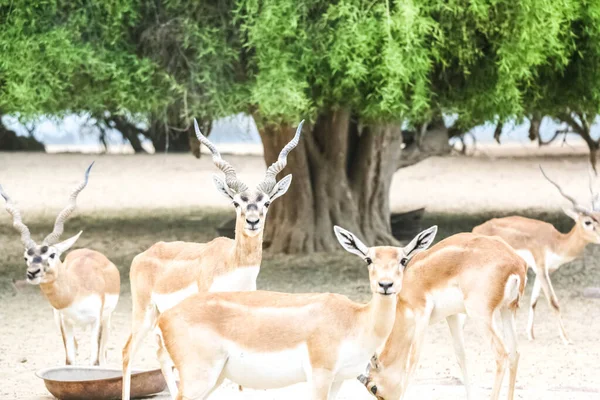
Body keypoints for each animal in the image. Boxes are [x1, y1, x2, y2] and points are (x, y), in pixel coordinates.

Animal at [0, 163, 119, 366]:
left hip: (107, 319)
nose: (33, 273)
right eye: (26, 257)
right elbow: (70, 361)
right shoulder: (65, 322)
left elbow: (94, 362)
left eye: (52, 254)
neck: (76, 289)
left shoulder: (96, 321)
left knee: (103, 355)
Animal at [121, 119, 304, 400]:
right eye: (237, 202)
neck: (232, 265)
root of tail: (145, 253)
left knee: (161, 355)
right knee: (128, 353)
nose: (252, 222)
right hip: (144, 312)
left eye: (267, 203)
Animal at [155, 225, 436, 400]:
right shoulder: (320, 375)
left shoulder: (337, 380)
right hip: (198, 378)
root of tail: (164, 317)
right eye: (368, 259)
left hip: (212, 379)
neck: (355, 319)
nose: (386, 285)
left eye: (403, 260)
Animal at [358, 233, 528, 400]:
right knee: (515, 352)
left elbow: (414, 358)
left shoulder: (422, 313)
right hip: (507, 310)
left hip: (480, 315)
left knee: (501, 354)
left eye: (374, 388)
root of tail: (516, 263)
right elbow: (460, 355)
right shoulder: (452, 315)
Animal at [474, 166, 600, 344]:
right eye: (588, 222)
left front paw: (530, 335)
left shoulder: (544, 271)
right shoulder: (541, 268)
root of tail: (476, 229)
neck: (556, 242)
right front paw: (566, 338)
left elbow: (533, 301)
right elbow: (554, 302)